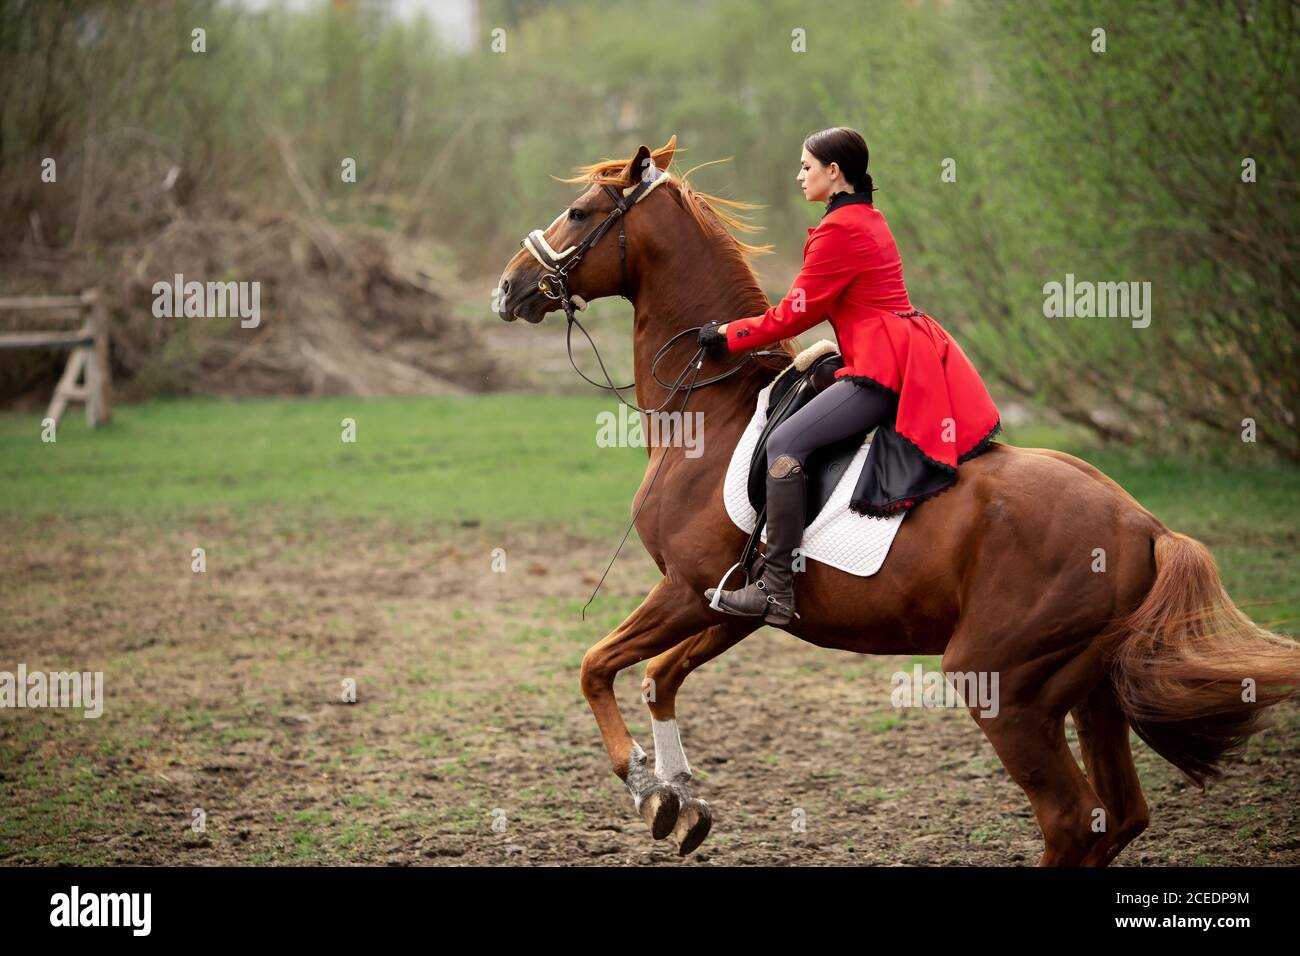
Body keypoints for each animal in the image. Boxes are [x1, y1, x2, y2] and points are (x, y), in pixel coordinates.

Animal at [493, 136, 1300, 865]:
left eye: (578, 211)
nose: (507, 288)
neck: (710, 410)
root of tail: (1145, 525)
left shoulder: (687, 590)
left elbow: (596, 665)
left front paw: (642, 784)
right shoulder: (731, 605)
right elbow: (659, 678)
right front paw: (679, 801)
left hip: (1005, 686)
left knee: (1072, 821)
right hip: (1090, 687)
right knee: (1119, 818)